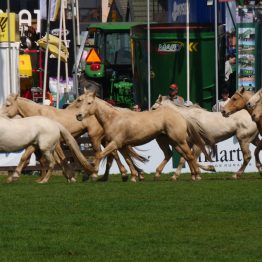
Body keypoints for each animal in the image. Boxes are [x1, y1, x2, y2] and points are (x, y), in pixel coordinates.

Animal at [75, 89, 215, 180]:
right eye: (80, 101)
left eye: (89, 103)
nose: (78, 115)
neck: (113, 119)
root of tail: (180, 115)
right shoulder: (122, 146)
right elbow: (128, 160)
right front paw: (133, 176)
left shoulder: (115, 143)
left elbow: (99, 155)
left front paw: (93, 173)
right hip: (167, 141)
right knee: (176, 155)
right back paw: (163, 174)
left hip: (178, 140)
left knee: (189, 155)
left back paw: (196, 175)